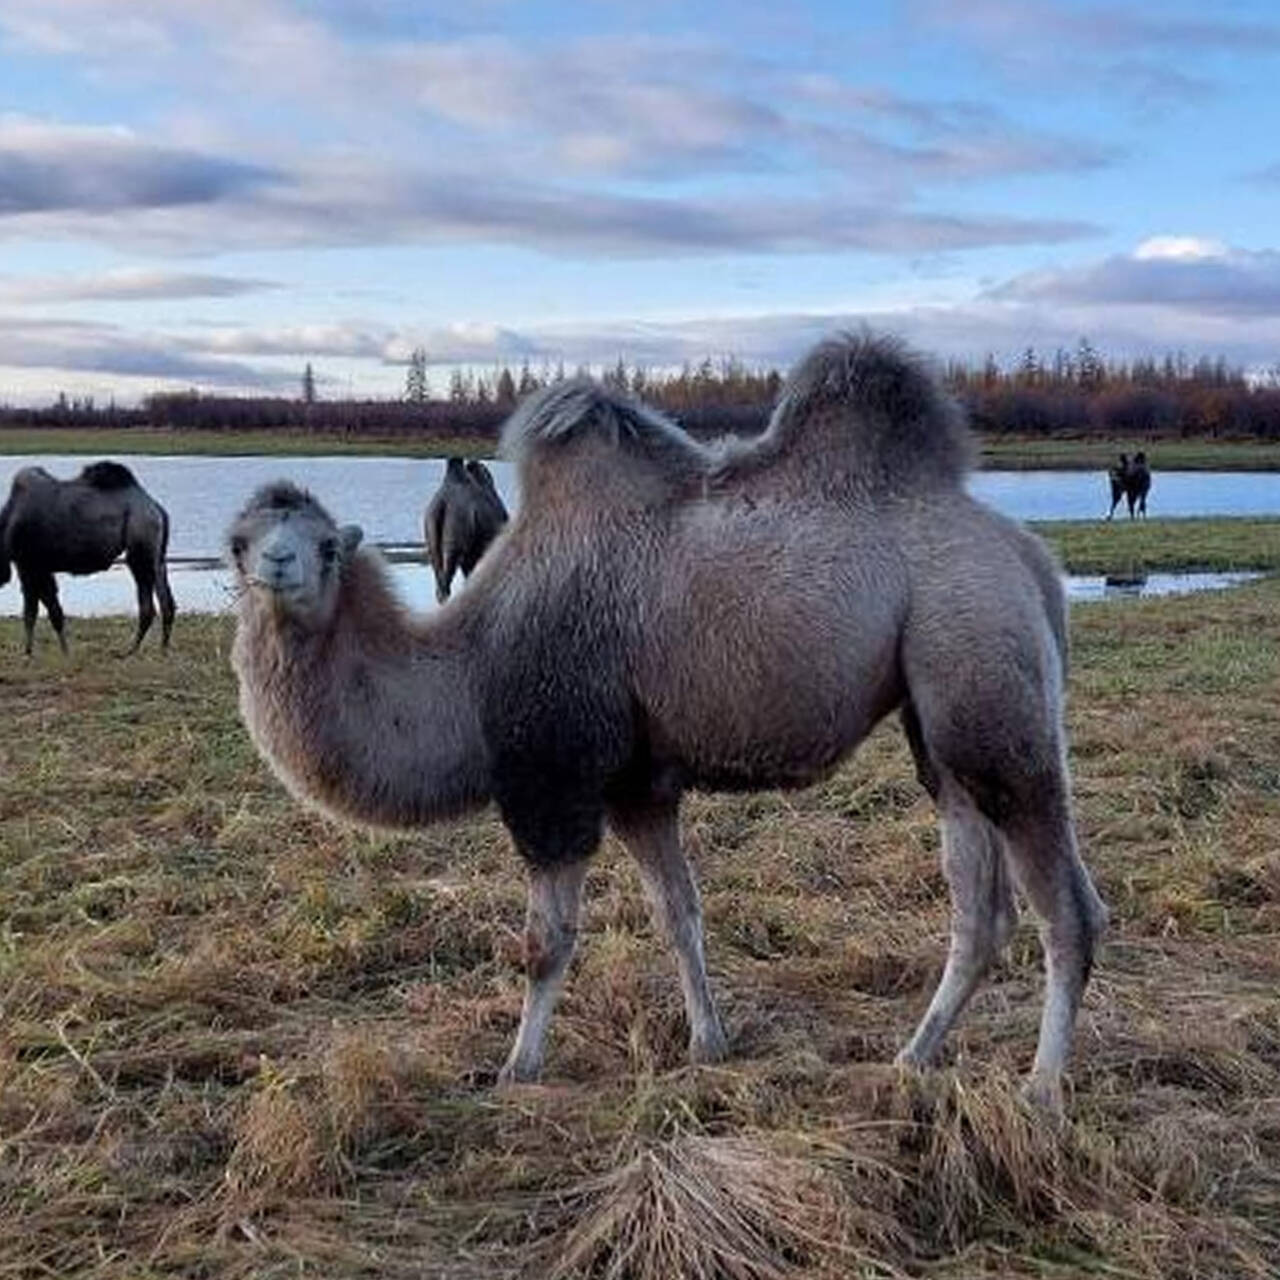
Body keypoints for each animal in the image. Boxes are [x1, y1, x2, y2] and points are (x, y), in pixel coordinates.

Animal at [0, 460, 175, 655]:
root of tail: (157, 508)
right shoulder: (36, 567)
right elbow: (41, 608)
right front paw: (42, 651)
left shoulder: (30, 564)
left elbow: (40, 610)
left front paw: (44, 652)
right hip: (154, 556)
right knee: (162, 601)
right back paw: (149, 649)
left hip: (142, 549)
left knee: (155, 603)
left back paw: (139, 650)